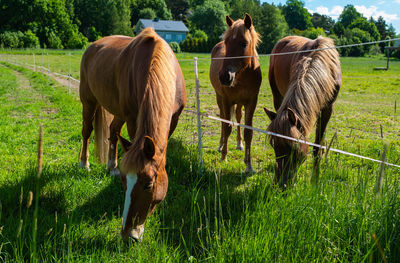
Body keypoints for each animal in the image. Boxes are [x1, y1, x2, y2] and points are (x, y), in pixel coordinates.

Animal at [79, 28, 187, 243]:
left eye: (148, 185)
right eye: (124, 181)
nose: (128, 235)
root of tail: (92, 46)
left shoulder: (173, 120)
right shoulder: (132, 119)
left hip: (118, 112)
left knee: (113, 131)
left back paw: (111, 165)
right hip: (88, 101)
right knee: (87, 131)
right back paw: (84, 164)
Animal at [209, 13, 262, 174]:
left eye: (244, 43)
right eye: (227, 42)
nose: (224, 77)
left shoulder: (251, 102)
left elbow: (248, 132)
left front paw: (249, 165)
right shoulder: (226, 100)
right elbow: (227, 127)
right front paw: (224, 157)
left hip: (239, 103)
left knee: (238, 117)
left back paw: (239, 144)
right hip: (219, 98)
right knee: (223, 119)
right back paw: (220, 146)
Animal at [264, 35, 342, 188]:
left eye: (294, 148)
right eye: (273, 145)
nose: (281, 184)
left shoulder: (327, 108)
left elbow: (317, 144)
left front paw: (315, 181)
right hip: (277, 95)